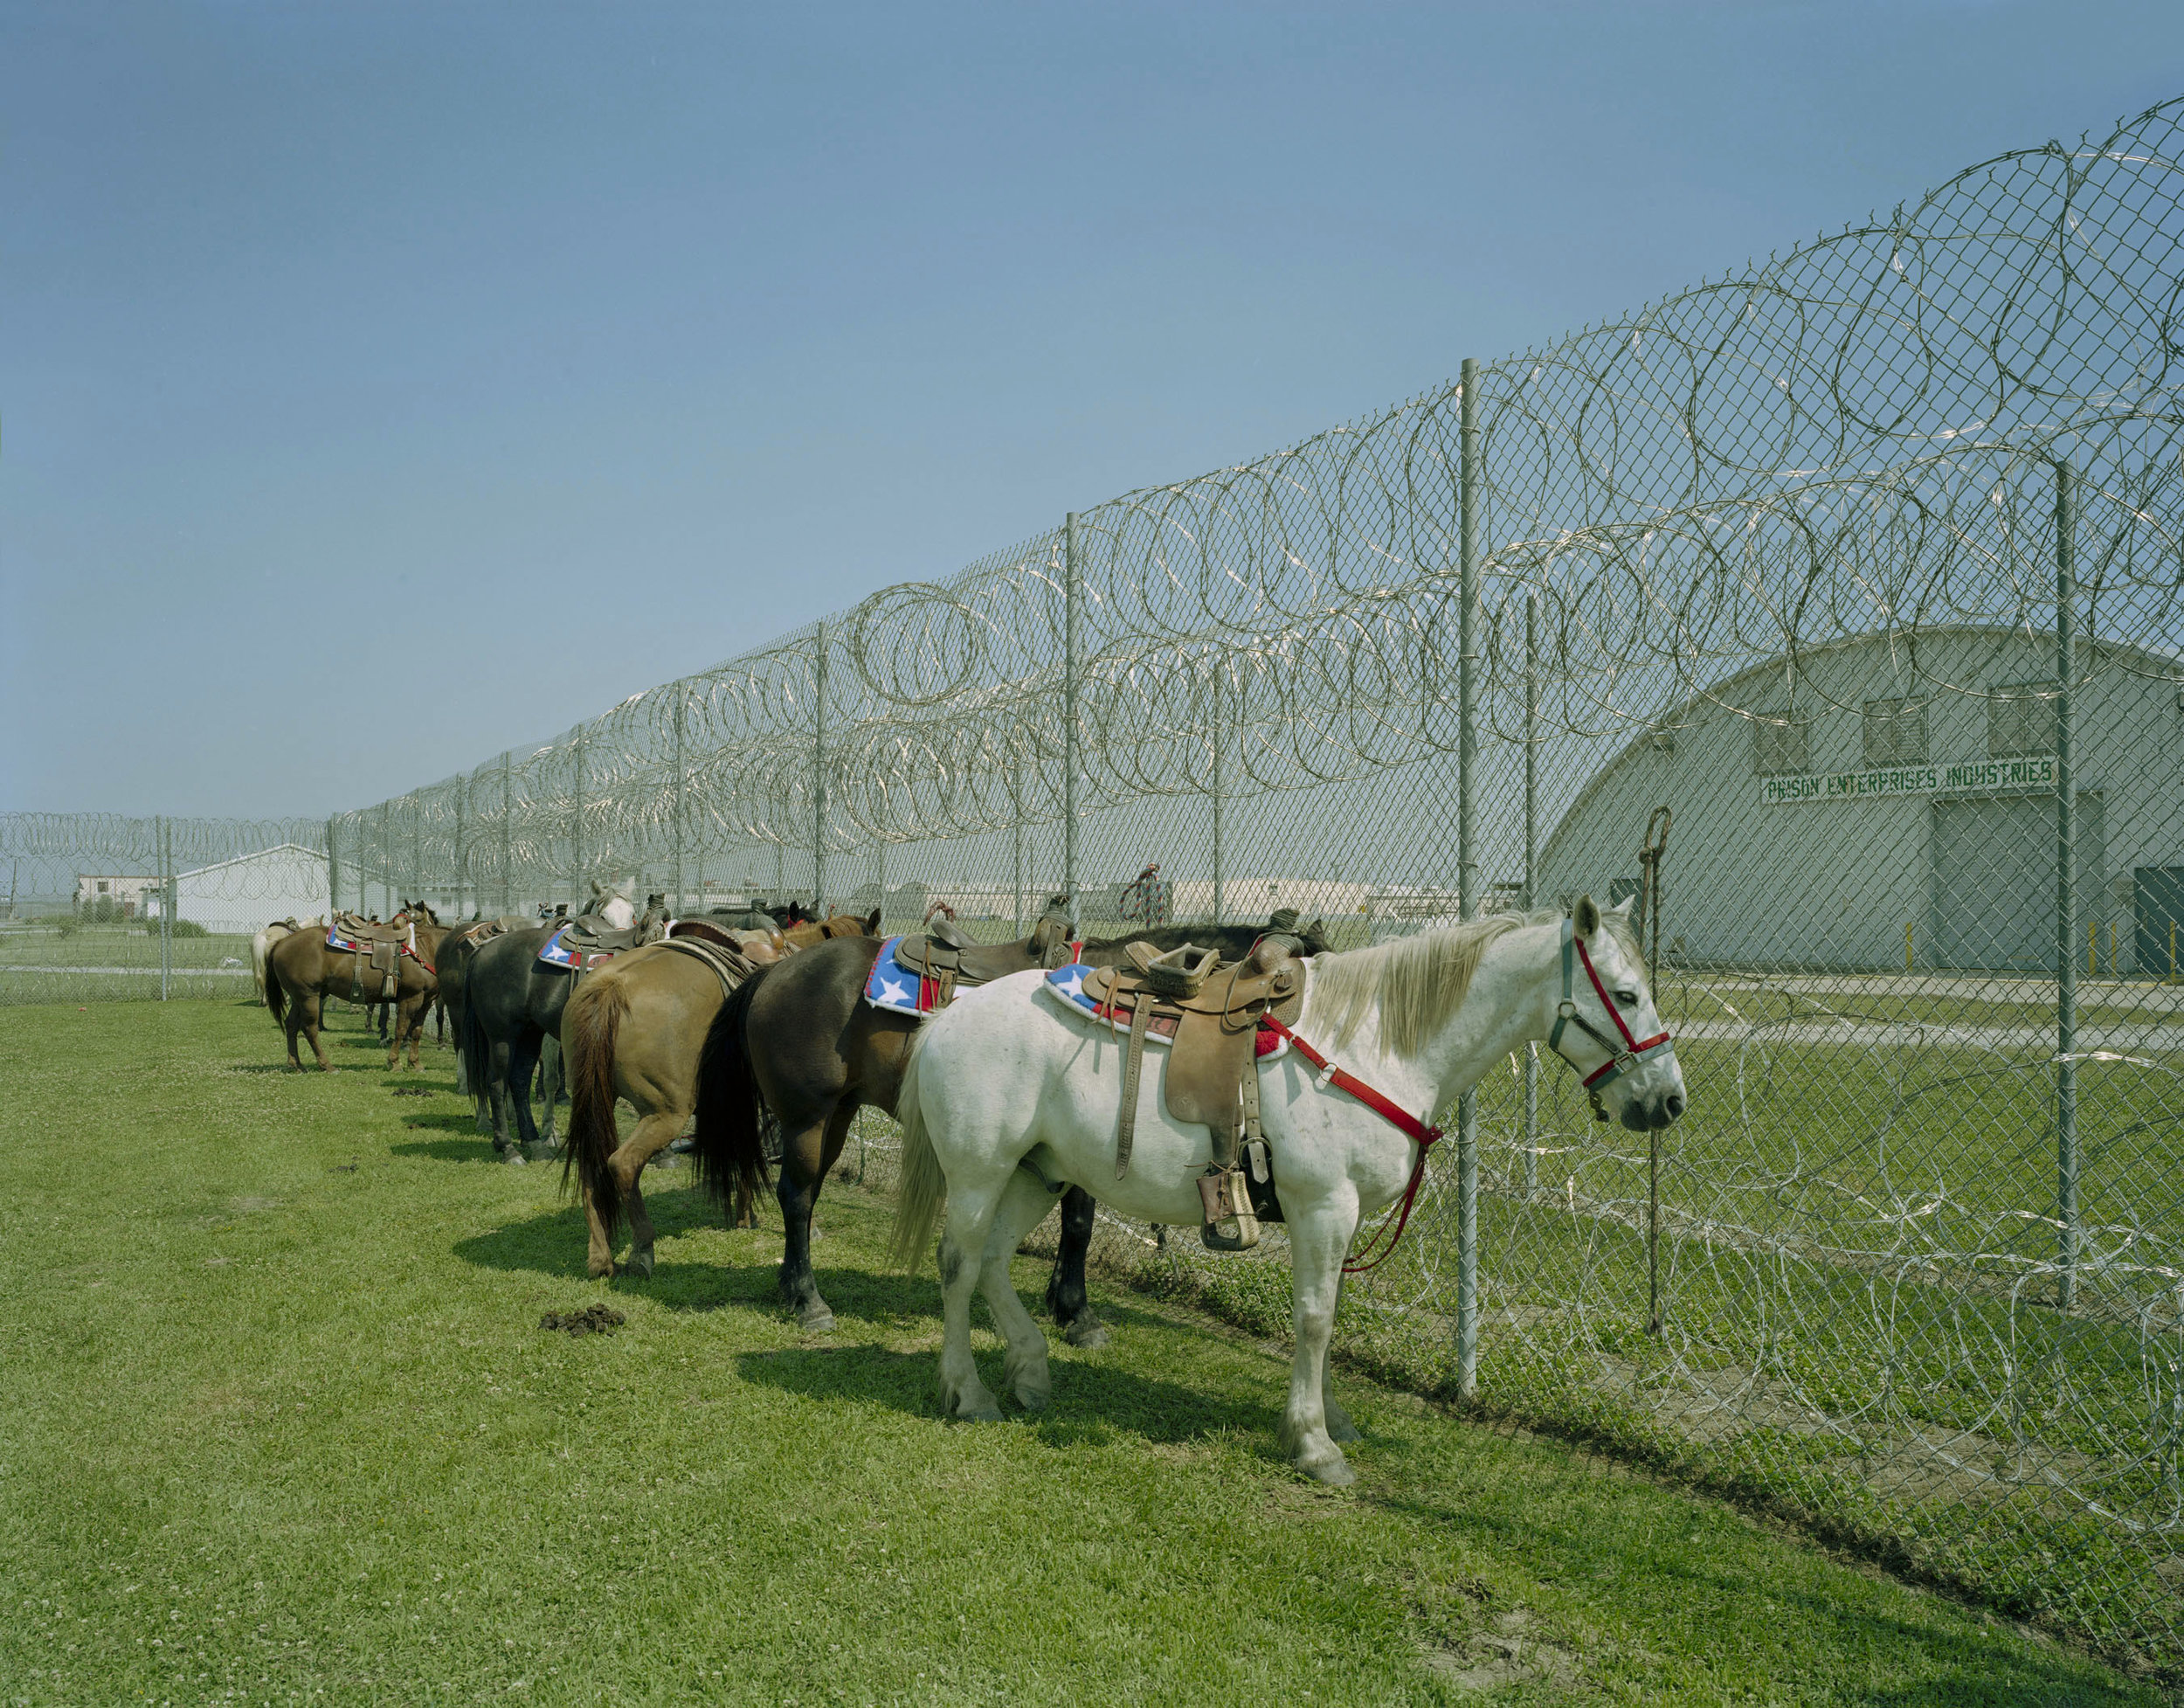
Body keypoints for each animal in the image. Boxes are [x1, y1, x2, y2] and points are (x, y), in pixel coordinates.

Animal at [559, 917, 865, 1276]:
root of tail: (609, 985)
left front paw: (745, 1215)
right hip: (666, 1113)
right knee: (622, 1164)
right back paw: (642, 1250)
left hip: (592, 1104)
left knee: (589, 1166)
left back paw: (600, 1257)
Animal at [690, 917, 1328, 1345]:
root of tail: (775, 969)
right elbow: (1079, 1225)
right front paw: (1077, 1312)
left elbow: (1075, 1225)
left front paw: (1064, 1303)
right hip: (808, 1118)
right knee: (797, 1197)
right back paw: (808, 1300)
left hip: (838, 1115)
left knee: (805, 1196)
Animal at [887, 895, 1686, 1485]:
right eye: (1625, 994)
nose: (1670, 1100)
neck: (1373, 1043)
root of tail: (950, 1016)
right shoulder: (1323, 1205)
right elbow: (1314, 1320)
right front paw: (1313, 1442)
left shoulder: (1339, 1214)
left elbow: (1328, 1315)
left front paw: (1331, 1419)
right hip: (981, 1171)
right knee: (958, 1266)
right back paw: (969, 1391)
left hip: (1038, 1170)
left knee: (992, 1263)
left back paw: (1028, 1370)